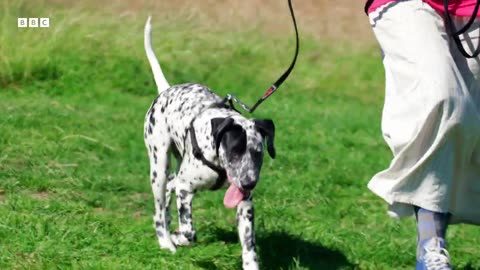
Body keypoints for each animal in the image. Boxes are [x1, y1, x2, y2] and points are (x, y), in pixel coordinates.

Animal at [142, 17, 276, 270]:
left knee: (168, 191)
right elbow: (189, 232)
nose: (249, 182)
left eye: (258, 153)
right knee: (159, 209)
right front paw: (178, 236)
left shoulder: (245, 204)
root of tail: (166, 89)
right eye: (234, 152)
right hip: (159, 165)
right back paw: (166, 241)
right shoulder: (186, 188)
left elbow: (249, 244)